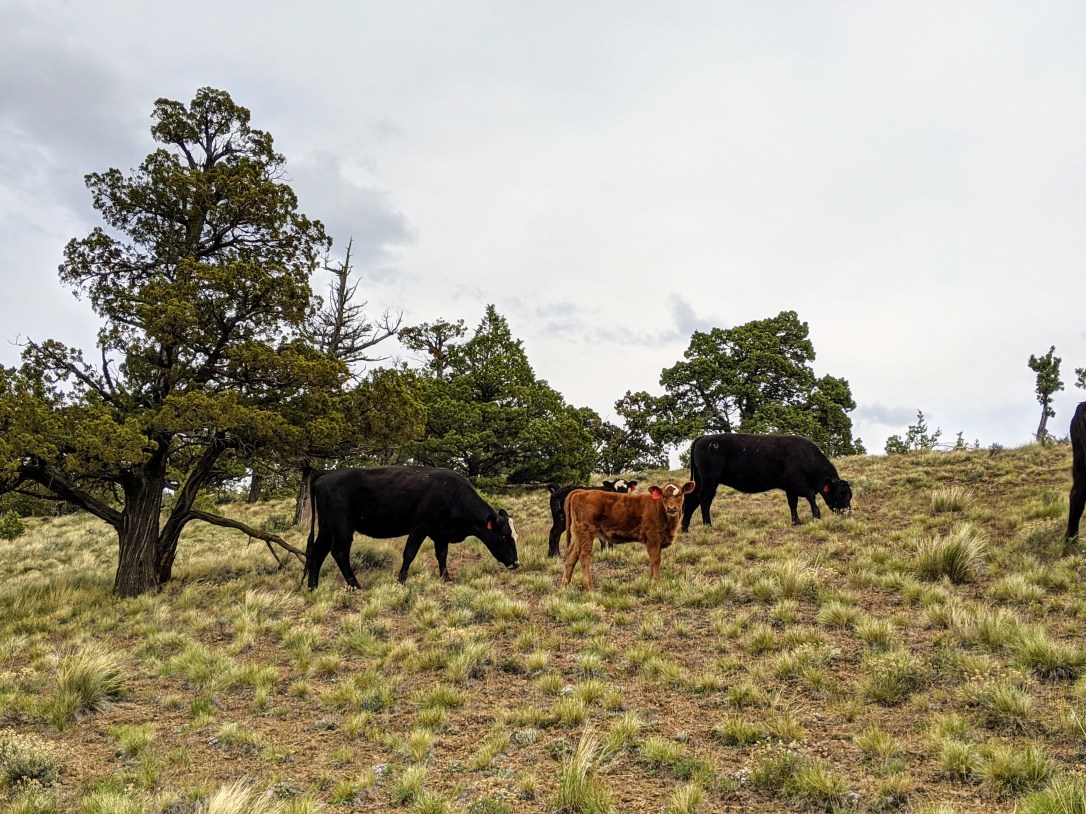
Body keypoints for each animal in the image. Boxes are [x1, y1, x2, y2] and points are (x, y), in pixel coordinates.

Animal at [305, 465, 519, 589]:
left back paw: (312, 587)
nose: (516, 563)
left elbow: (442, 555)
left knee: (317, 552)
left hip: (327, 527)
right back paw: (356, 585)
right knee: (339, 552)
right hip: (343, 527)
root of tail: (326, 474)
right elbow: (409, 553)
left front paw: (446, 578)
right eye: (503, 536)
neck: (451, 494)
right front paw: (401, 580)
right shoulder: (419, 527)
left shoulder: (441, 534)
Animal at [563, 481, 696, 590]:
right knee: (584, 556)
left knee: (572, 555)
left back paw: (565, 584)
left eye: (680, 494)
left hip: (579, 534)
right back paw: (589, 586)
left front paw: (651, 580)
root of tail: (581, 491)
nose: (671, 508)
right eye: (664, 495)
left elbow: (653, 561)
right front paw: (657, 582)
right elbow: (655, 559)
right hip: (586, 532)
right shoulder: (652, 537)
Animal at [681, 433, 852, 531]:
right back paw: (708, 525)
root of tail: (703, 438)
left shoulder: (790, 488)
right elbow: (810, 496)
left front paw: (796, 521)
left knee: (691, 500)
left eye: (850, 495)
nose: (848, 512)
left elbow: (793, 503)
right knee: (704, 499)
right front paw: (816, 516)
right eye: (840, 494)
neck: (807, 457)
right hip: (710, 480)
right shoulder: (799, 483)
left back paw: (684, 527)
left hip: (700, 481)